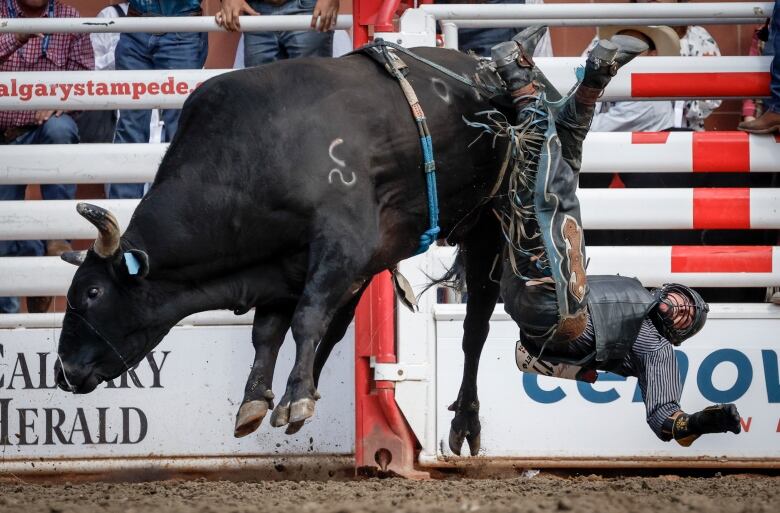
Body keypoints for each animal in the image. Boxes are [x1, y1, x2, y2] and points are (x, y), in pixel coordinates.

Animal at [58, 48, 516, 454]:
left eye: (92, 293)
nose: (64, 372)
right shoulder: (279, 265)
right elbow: (267, 334)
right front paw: (256, 400)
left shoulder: (342, 243)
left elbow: (306, 318)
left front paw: (295, 398)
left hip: (487, 230)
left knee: (474, 329)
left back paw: (465, 422)